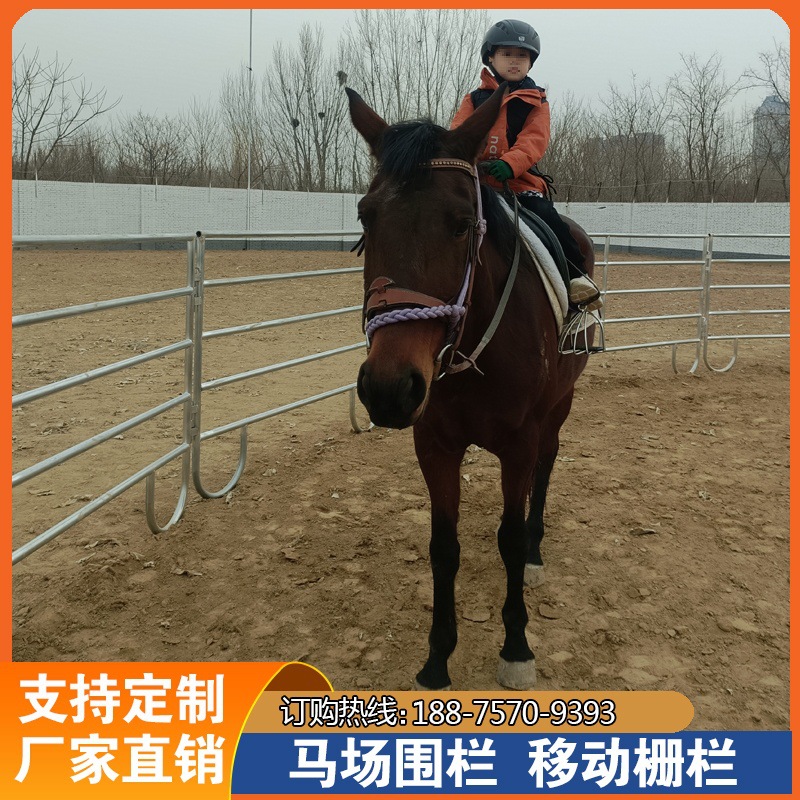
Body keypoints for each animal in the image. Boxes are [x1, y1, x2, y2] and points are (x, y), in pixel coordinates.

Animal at [347, 84, 596, 691]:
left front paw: (516, 648)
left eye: (461, 223)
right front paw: (437, 657)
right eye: (366, 215)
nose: (389, 388)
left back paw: (535, 552)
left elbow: (509, 537)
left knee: (547, 469)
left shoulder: (519, 444)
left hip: (559, 407)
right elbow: (443, 546)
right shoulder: (434, 444)